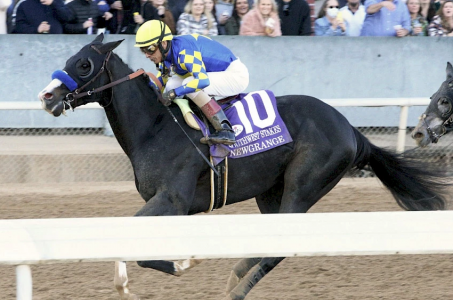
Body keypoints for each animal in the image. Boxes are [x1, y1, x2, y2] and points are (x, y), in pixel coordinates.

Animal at [38, 34, 444, 300]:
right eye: (71, 57)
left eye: (84, 64)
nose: (46, 96)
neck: (156, 127)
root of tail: (351, 129)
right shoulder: (170, 206)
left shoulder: (172, 200)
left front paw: (183, 264)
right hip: (270, 192)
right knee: (268, 241)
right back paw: (234, 278)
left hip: (303, 186)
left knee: (279, 247)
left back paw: (236, 289)